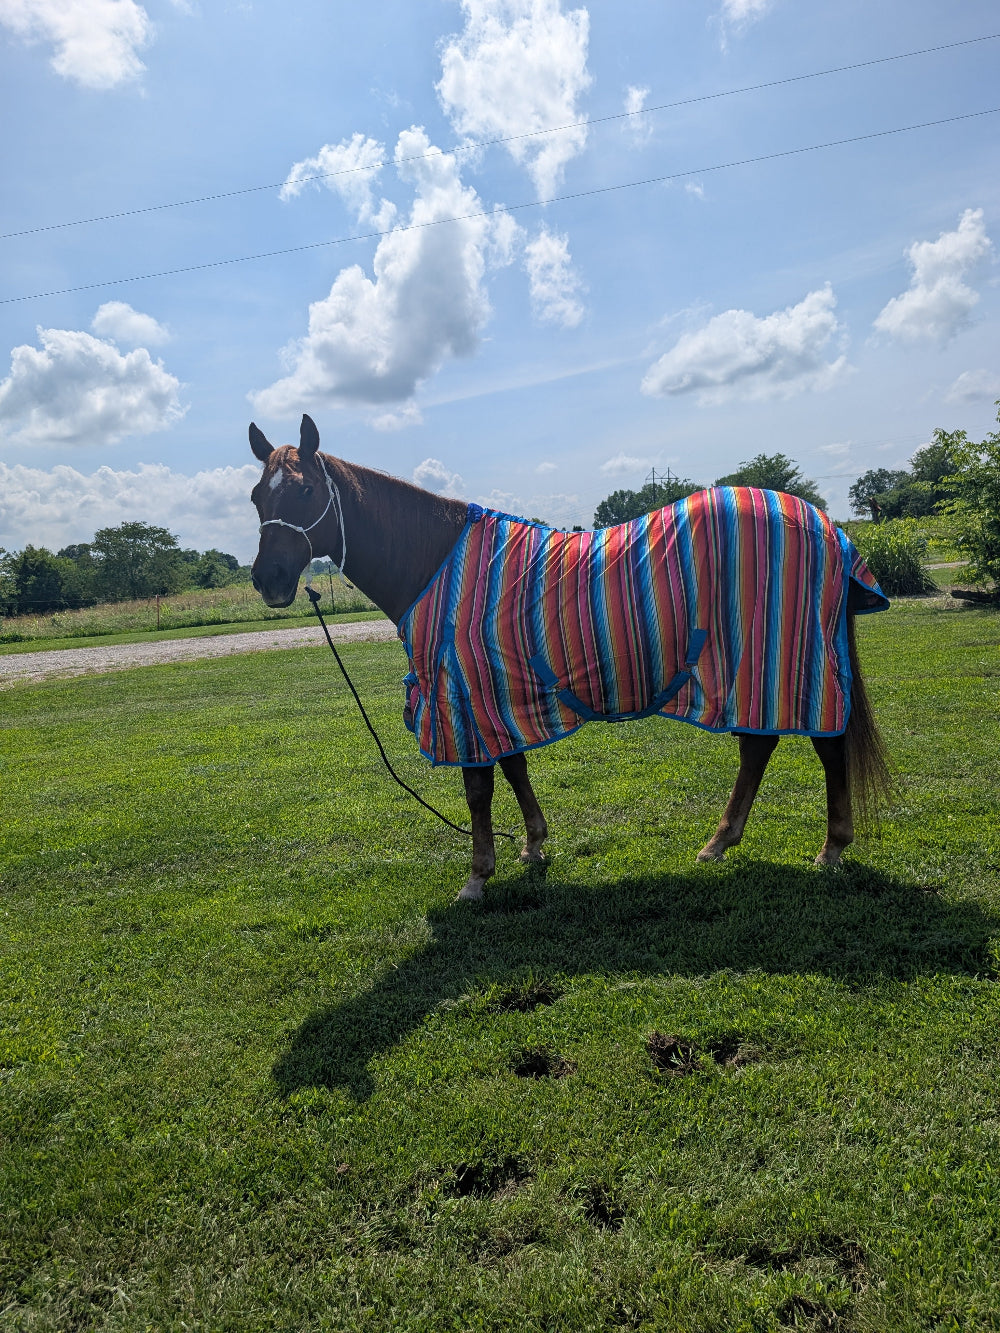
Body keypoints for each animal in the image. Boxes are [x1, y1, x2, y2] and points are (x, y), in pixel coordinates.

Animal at [249, 414, 891, 901]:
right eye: (257, 496)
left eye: (305, 490)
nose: (268, 580)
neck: (435, 562)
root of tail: (825, 523)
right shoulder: (496, 695)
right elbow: (514, 767)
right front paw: (533, 844)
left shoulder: (465, 698)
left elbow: (479, 789)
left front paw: (477, 877)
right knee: (759, 745)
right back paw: (720, 842)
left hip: (790, 662)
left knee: (824, 745)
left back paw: (831, 848)